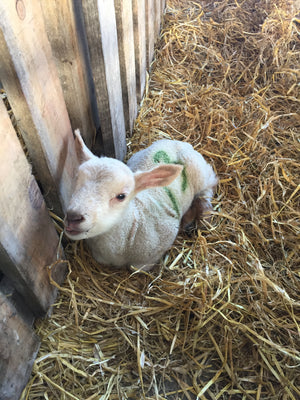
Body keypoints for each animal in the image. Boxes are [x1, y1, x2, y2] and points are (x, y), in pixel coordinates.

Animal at [63, 130, 218, 270]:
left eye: (121, 196)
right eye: (76, 180)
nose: (73, 217)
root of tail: (178, 142)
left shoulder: (150, 257)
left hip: (202, 174)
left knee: (208, 189)